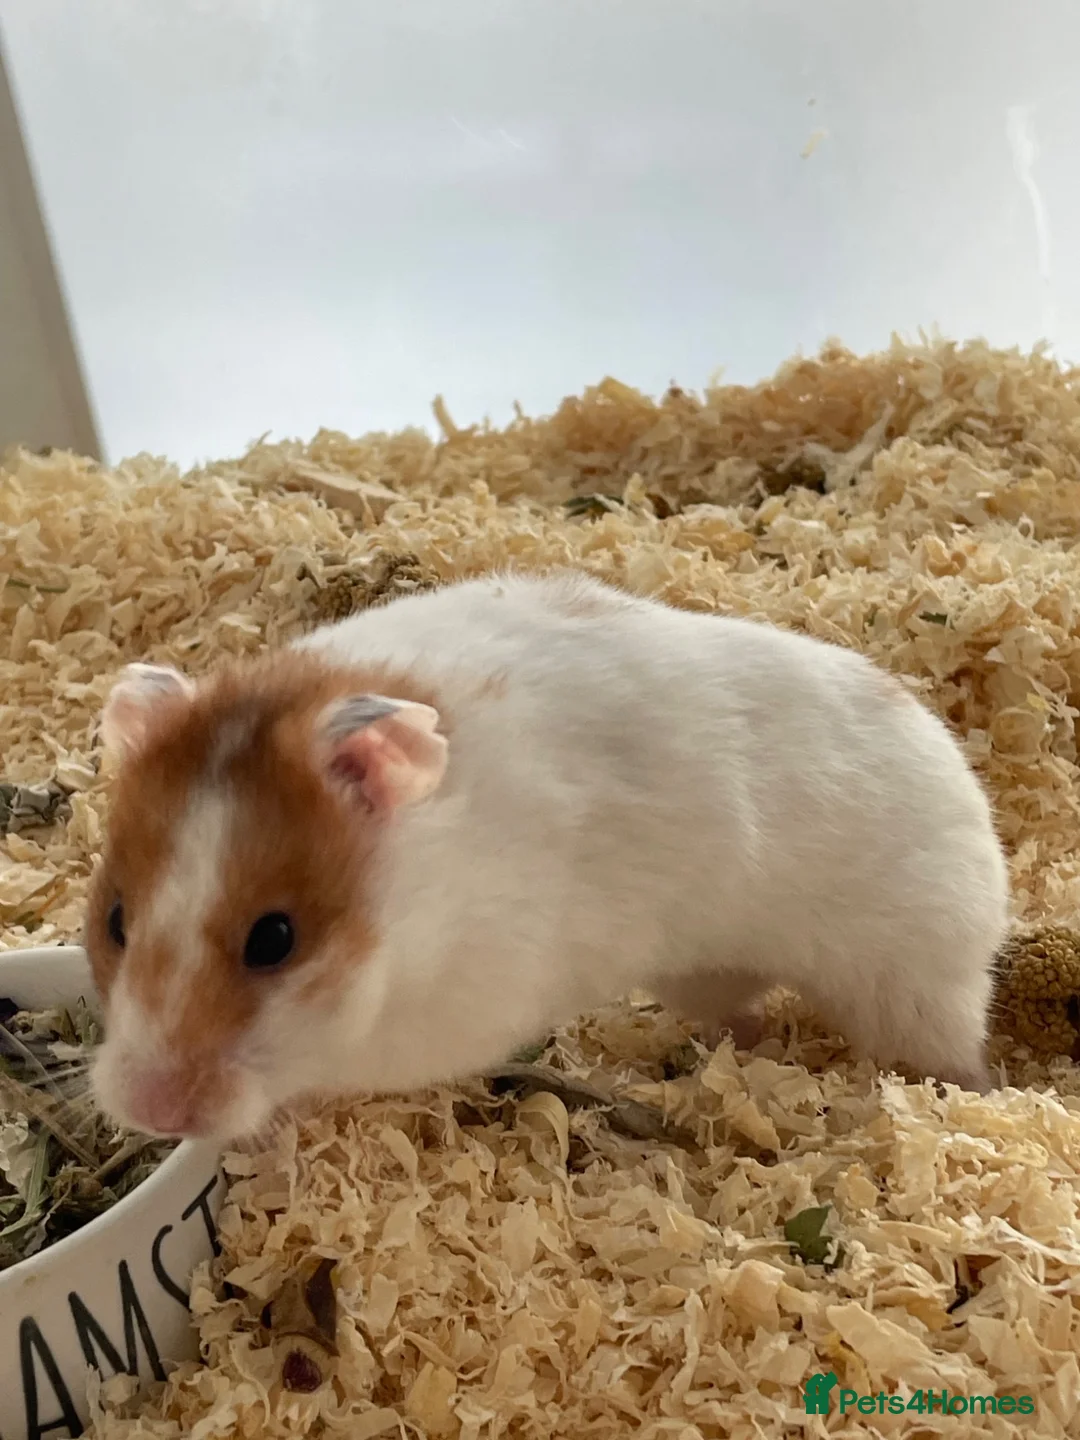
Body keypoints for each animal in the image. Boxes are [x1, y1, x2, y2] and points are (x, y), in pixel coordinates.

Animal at [85, 569, 1009, 1142]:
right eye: (115, 920)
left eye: (274, 939)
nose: (151, 1110)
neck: (411, 914)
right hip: (708, 973)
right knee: (740, 1016)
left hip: (911, 982)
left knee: (957, 1052)